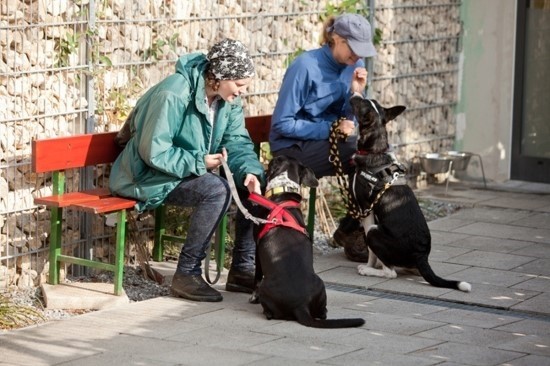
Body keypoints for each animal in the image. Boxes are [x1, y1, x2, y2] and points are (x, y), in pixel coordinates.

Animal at [250, 155, 366, 328]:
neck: (282, 191)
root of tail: (300, 305)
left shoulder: (257, 249)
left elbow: (256, 276)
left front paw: (253, 297)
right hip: (321, 285)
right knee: (323, 313)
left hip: (267, 288)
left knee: (270, 312)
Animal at [352, 96, 472, 294]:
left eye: (361, 104)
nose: (355, 95)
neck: (375, 150)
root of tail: (421, 255)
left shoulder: (366, 210)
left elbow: (371, 252)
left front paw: (369, 266)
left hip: (375, 232)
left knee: (391, 272)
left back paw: (369, 271)